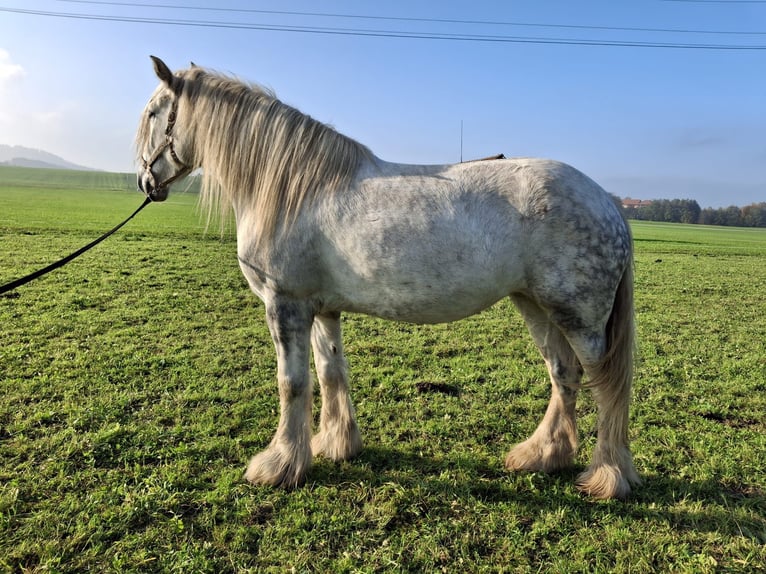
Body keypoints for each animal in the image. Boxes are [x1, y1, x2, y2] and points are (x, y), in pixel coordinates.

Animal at [136, 56, 640, 502]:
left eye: (153, 113)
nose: (145, 183)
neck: (295, 189)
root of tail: (607, 202)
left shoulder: (285, 304)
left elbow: (292, 383)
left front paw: (279, 465)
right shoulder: (322, 309)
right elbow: (330, 371)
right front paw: (335, 445)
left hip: (580, 320)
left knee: (607, 386)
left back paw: (607, 477)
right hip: (536, 306)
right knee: (563, 374)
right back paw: (542, 455)